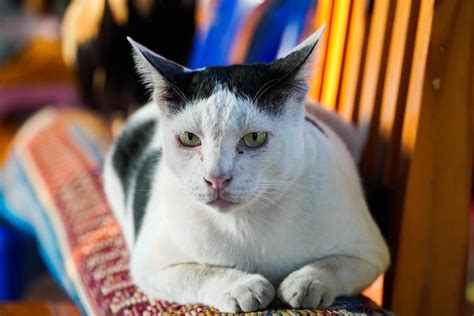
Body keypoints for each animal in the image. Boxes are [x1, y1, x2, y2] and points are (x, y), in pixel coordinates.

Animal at [103, 25, 388, 312]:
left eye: (254, 138)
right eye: (189, 138)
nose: (216, 178)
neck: (245, 224)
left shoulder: (370, 252)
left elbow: (334, 265)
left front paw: (307, 282)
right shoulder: (150, 266)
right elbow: (200, 272)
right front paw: (242, 287)